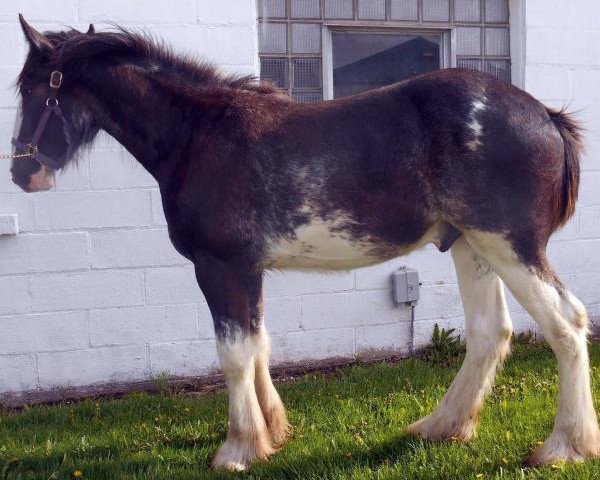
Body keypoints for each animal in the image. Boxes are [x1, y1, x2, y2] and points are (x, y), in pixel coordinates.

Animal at [9, 16, 600, 470]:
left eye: (36, 90)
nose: (22, 172)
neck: (199, 135)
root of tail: (546, 116)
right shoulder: (248, 272)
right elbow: (259, 347)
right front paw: (272, 432)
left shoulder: (221, 267)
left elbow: (234, 355)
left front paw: (238, 449)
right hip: (472, 247)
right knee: (488, 333)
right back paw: (440, 427)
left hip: (510, 246)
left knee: (566, 324)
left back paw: (565, 447)